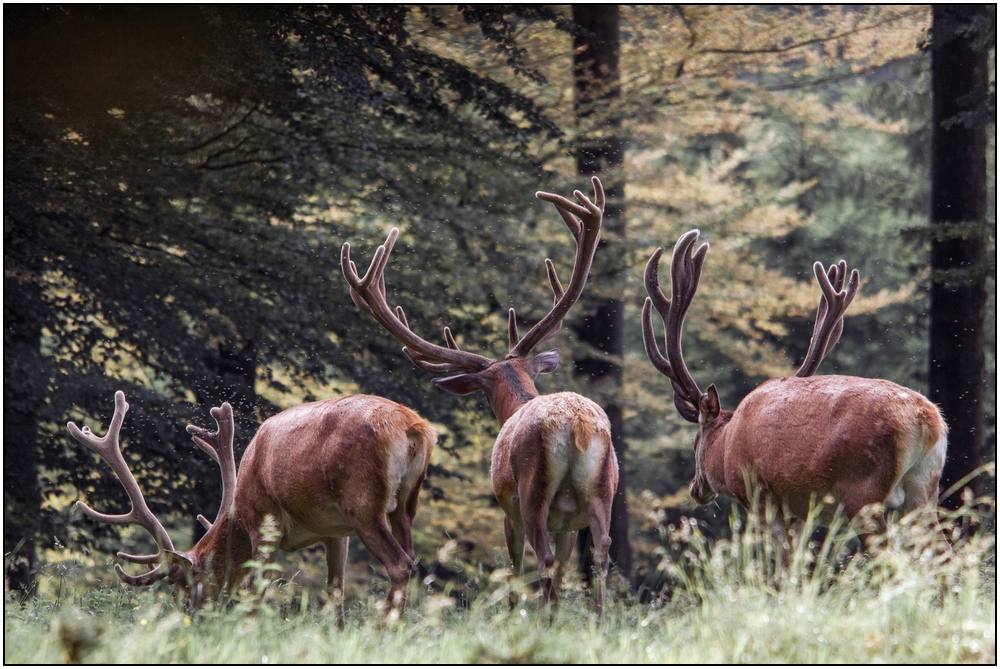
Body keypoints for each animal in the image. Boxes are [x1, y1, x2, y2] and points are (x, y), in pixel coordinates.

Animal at [66, 392, 434, 620]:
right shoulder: (334, 532)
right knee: (413, 558)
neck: (240, 510)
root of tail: (413, 427)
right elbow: (335, 592)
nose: (190, 618)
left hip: (362, 503)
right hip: (406, 504)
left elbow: (255, 589)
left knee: (400, 564)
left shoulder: (264, 521)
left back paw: (385, 628)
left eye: (179, 583)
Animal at [344, 179, 616, 616]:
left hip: (531, 491)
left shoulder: (508, 509)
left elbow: (514, 567)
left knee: (540, 559)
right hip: (603, 488)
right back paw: (596, 617)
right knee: (600, 551)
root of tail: (575, 425)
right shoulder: (568, 525)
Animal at [644, 232, 948, 536]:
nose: (695, 488)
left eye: (695, 443)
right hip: (924, 489)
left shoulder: (760, 494)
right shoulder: (800, 514)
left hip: (863, 492)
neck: (727, 444)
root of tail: (928, 420)